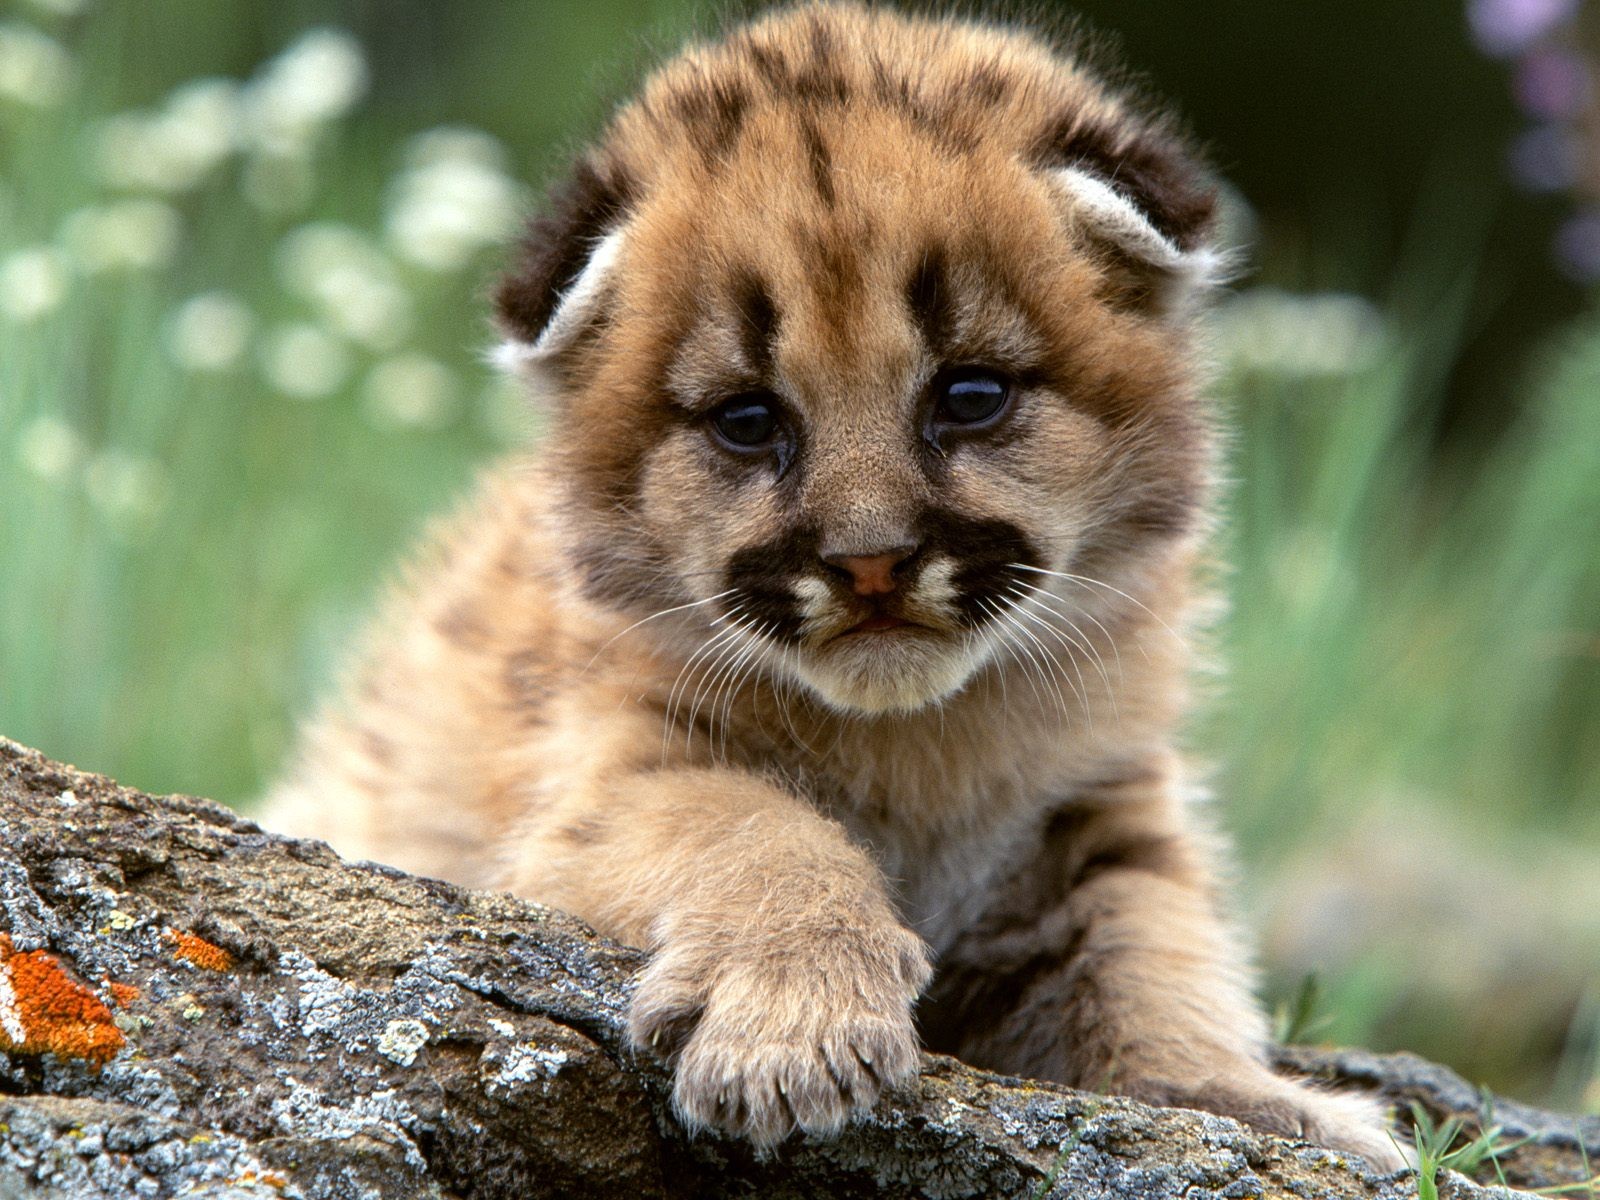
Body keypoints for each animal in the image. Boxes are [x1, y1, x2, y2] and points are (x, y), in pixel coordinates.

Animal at [265, 0, 1401, 1164]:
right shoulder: (603, 775)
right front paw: (793, 1022)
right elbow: (755, 825)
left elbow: (1157, 943)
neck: (922, 747)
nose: (870, 561)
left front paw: (1243, 1101)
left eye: (970, 395)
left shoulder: (1102, 803)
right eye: (747, 418)